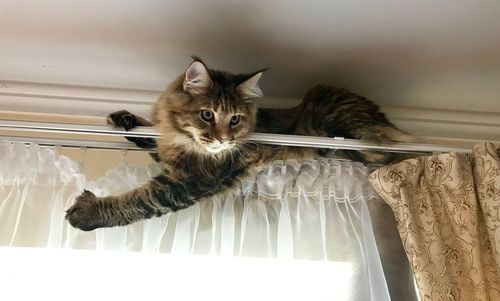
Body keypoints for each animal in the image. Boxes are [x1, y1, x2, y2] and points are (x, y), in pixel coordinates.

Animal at [67, 55, 418, 230]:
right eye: (207, 114)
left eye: (234, 119)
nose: (224, 139)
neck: (183, 139)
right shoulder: (172, 154)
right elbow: (151, 138)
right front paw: (126, 120)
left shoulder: (189, 180)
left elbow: (138, 202)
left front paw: (88, 213)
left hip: (330, 107)